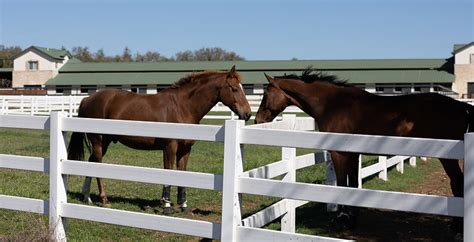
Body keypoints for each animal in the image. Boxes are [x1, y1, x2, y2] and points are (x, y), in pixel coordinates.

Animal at [68, 65, 252, 212]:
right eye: (234, 89)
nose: (248, 114)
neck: (182, 107)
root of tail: (87, 99)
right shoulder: (170, 147)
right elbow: (168, 172)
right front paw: (167, 205)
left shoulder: (185, 150)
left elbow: (182, 173)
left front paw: (183, 205)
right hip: (99, 141)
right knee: (97, 165)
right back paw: (104, 199)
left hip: (103, 143)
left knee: (91, 163)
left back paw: (87, 197)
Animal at [256, 68, 470, 231]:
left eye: (265, 94)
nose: (257, 120)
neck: (333, 105)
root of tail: (462, 107)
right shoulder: (352, 153)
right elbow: (352, 183)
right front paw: (351, 218)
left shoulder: (339, 153)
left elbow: (342, 184)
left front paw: (340, 220)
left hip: (448, 158)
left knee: (457, 184)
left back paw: (457, 227)